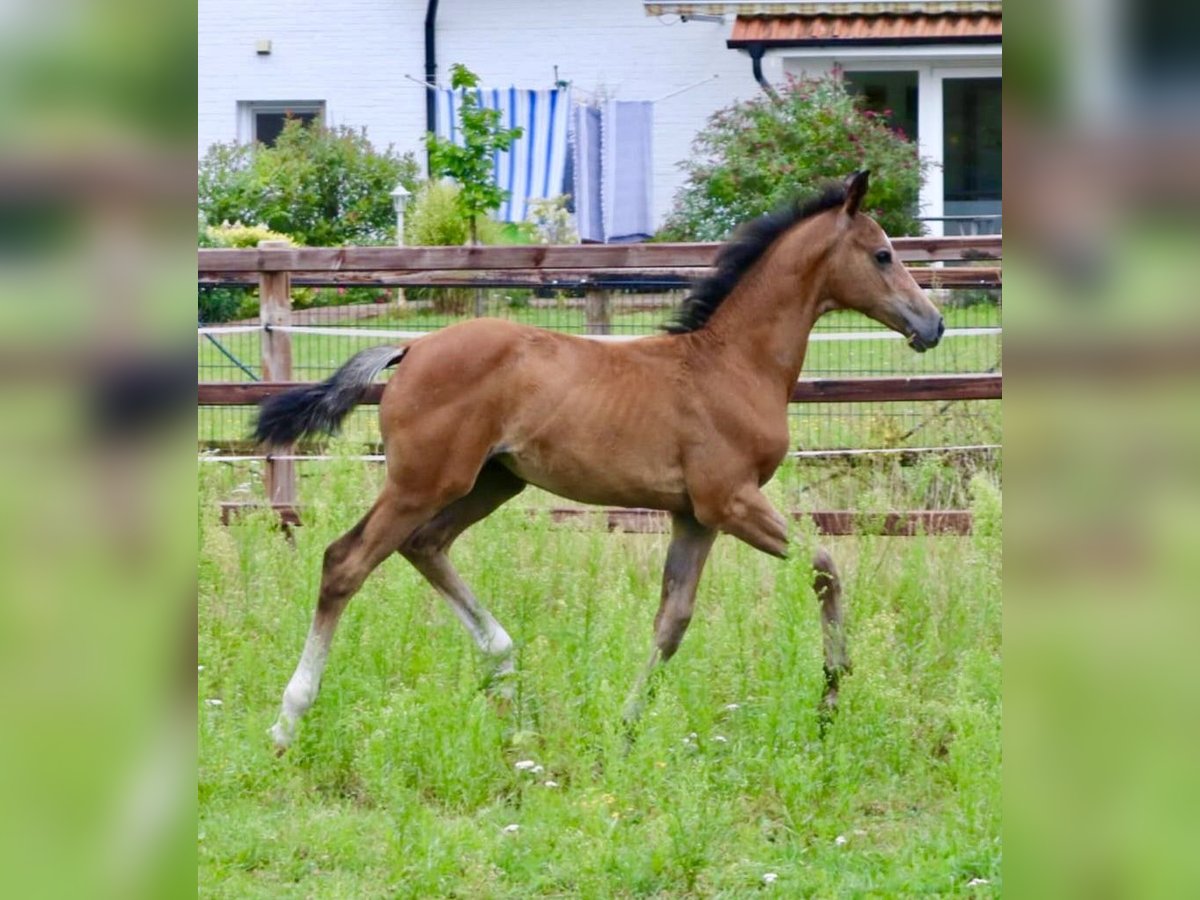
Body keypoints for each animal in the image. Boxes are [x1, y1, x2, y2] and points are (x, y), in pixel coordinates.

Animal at [258, 172, 940, 748]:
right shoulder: (731, 500)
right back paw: (288, 721)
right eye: (882, 254)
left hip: (489, 483)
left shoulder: (695, 516)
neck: (731, 364)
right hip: (422, 481)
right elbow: (825, 565)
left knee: (424, 546)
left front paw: (628, 726)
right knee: (345, 562)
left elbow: (672, 620)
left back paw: (505, 675)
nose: (931, 325)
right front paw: (832, 691)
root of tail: (411, 347)